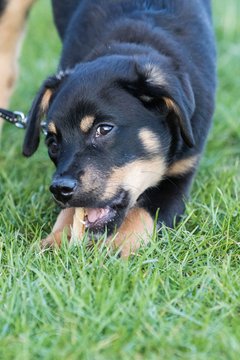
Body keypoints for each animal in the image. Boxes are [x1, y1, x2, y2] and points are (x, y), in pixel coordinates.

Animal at [23, 0, 217, 256]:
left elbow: (141, 213)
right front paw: (53, 243)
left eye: (104, 129)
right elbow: (72, 213)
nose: (59, 189)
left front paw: (113, 250)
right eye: (52, 143)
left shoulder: (181, 172)